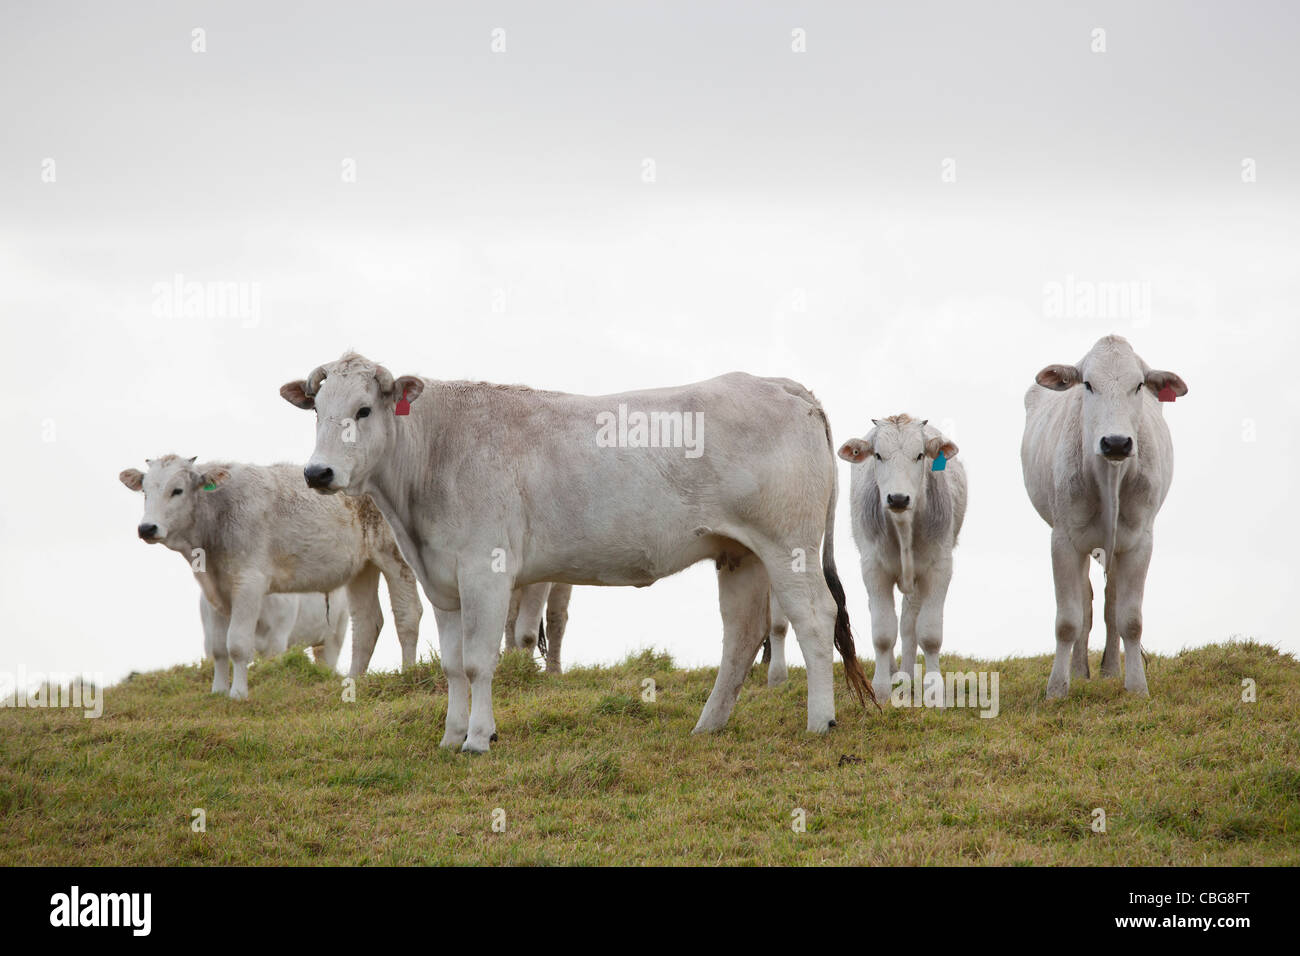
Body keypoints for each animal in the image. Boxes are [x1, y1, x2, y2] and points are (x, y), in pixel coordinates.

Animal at [283, 353, 873, 754]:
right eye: (317, 411)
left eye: (363, 410)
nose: (318, 472)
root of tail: (780, 383)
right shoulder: (442, 580)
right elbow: (451, 666)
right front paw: (451, 736)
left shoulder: (485, 570)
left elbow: (478, 661)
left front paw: (477, 739)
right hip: (740, 552)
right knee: (742, 635)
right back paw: (708, 725)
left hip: (788, 545)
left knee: (815, 617)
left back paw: (821, 722)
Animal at [832, 416, 967, 702]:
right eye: (878, 455)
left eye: (920, 455)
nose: (897, 498)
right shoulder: (874, 570)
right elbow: (883, 632)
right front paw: (881, 689)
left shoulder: (939, 568)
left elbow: (928, 633)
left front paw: (934, 690)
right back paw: (895, 672)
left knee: (908, 623)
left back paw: (907, 675)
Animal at [1019, 335, 1190, 697]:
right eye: (1088, 384)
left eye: (1138, 385)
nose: (1116, 442)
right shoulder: (1063, 540)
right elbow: (1068, 620)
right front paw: (1057, 689)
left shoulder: (1139, 542)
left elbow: (1130, 619)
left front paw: (1137, 687)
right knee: (1086, 602)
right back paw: (1080, 670)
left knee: (1110, 605)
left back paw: (1110, 670)